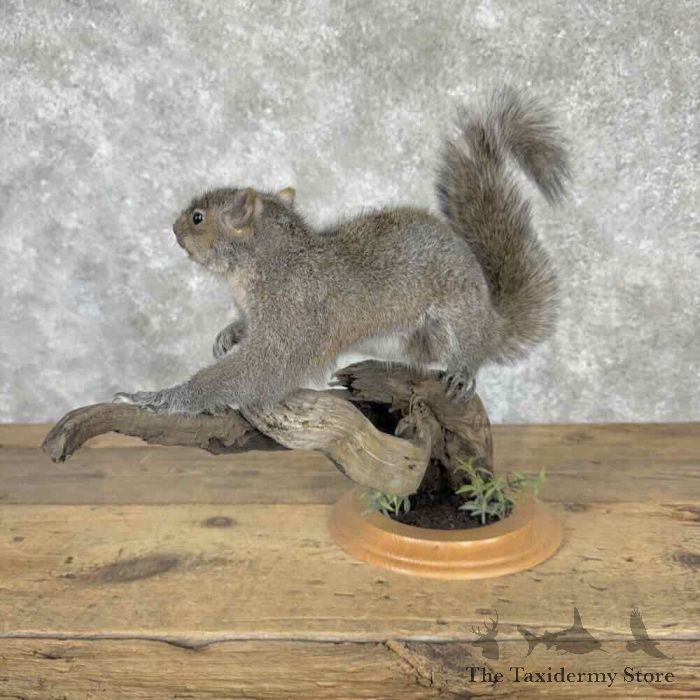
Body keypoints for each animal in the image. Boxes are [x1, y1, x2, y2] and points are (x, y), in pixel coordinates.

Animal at [114, 87, 569, 415]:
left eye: (197, 218)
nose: (173, 228)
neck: (265, 262)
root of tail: (492, 317)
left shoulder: (293, 316)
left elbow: (262, 369)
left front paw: (159, 398)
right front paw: (230, 332)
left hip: (458, 314)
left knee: (470, 347)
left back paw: (462, 371)